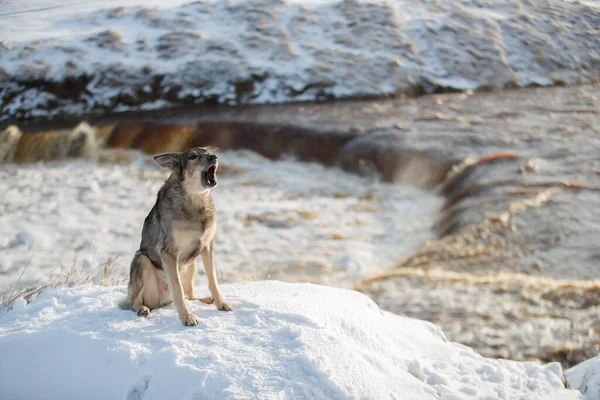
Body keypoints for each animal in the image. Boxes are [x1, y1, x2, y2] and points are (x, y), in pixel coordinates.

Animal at [118, 146, 231, 324]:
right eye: (193, 157)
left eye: (207, 152)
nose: (213, 157)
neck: (196, 200)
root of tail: (162, 301)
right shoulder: (169, 253)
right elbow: (177, 290)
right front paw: (187, 318)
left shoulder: (206, 246)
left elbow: (212, 280)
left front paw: (221, 303)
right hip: (142, 260)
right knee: (136, 302)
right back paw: (143, 309)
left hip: (192, 263)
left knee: (189, 294)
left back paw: (205, 299)